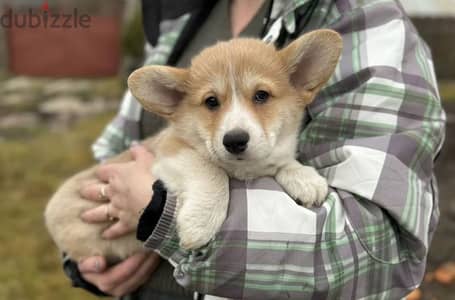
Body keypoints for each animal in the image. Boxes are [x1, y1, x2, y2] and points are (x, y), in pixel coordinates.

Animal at [45, 29, 342, 262]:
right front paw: (200, 224)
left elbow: (280, 160)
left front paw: (304, 177)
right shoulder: (171, 151)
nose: (235, 140)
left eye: (261, 96)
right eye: (211, 102)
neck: (243, 169)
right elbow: (212, 173)